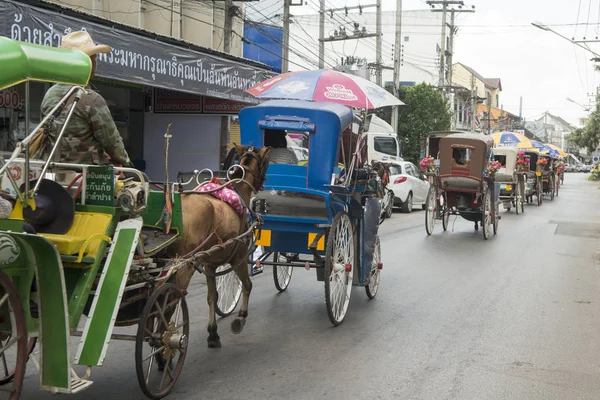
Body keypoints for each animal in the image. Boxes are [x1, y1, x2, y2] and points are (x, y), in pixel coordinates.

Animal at [171, 144, 270, 346]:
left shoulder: (209, 265)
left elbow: (212, 297)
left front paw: (213, 333)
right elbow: (247, 285)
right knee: (174, 296)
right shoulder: (239, 258)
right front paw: (240, 318)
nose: (263, 184)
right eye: (266, 164)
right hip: (186, 264)